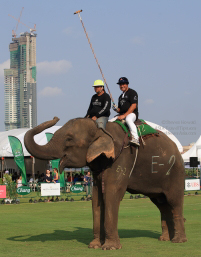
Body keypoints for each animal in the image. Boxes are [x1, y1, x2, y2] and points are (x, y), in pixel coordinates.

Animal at [24, 116, 187, 248]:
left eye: (69, 139)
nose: (55, 117)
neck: (101, 129)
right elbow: (97, 197)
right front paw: (94, 245)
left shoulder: (121, 159)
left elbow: (111, 194)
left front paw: (110, 247)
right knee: (162, 204)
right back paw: (164, 239)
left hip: (176, 172)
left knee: (174, 201)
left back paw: (178, 241)